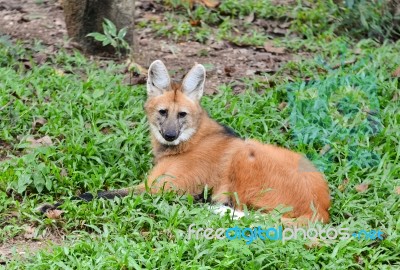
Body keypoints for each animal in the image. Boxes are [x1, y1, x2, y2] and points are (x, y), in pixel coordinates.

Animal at [39, 61, 330, 224]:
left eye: (182, 115)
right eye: (162, 112)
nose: (170, 135)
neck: (190, 141)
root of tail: (322, 208)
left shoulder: (156, 189)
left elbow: (99, 194)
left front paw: (53, 205)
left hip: (247, 155)